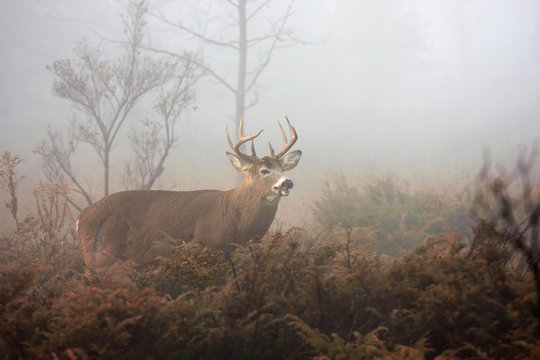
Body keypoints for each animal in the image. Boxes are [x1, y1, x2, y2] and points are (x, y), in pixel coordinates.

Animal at [75, 116, 302, 274]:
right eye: (264, 171)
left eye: (282, 168)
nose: (287, 182)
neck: (233, 215)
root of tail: (81, 217)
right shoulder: (205, 244)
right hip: (102, 255)